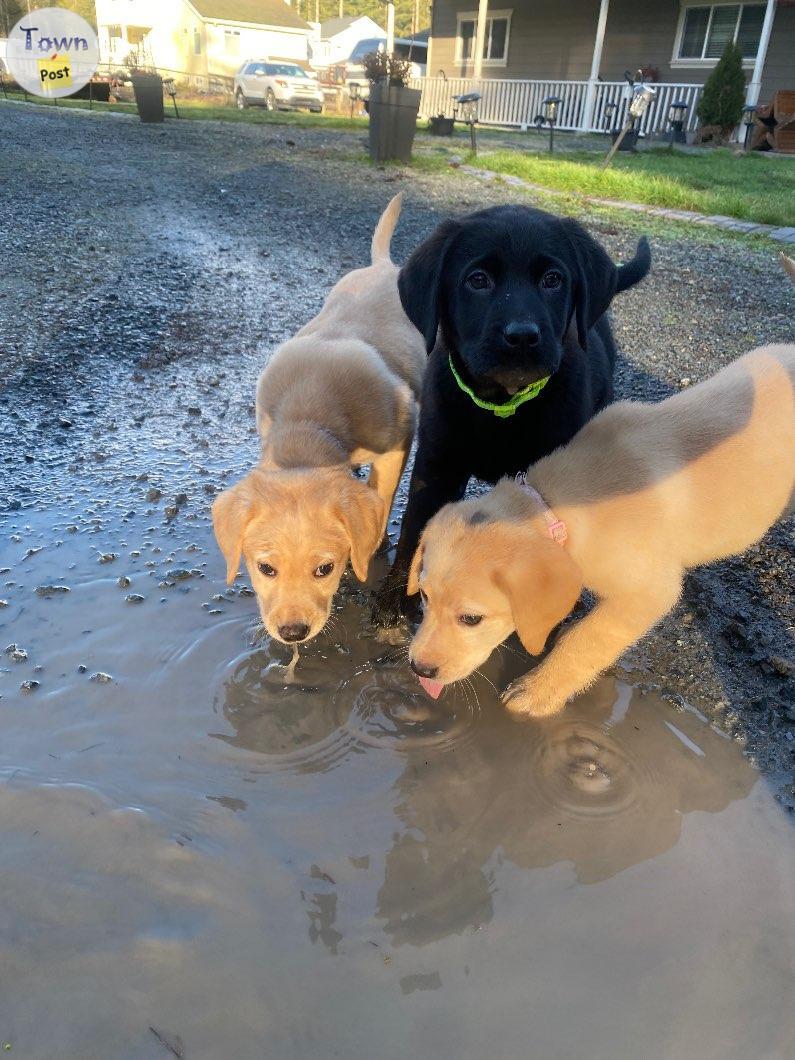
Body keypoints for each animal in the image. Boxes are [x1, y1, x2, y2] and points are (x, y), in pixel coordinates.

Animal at [211, 197, 423, 644]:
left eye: (325, 569)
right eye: (265, 568)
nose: (293, 633)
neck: (310, 414)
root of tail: (384, 266)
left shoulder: (399, 436)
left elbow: (383, 492)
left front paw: (373, 544)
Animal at [373, 202, 652, 623]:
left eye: (553, 279)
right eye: (478, 280)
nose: (522, 336)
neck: (502, 407)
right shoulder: (436, 465)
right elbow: (415, 525)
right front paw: (395, 596)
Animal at [407, 343, 792, 716]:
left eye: (471, 619)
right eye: (424, 595)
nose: (419, 669)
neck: (556, 504)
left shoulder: (649, 593)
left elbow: (585, 639)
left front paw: (537, 692)